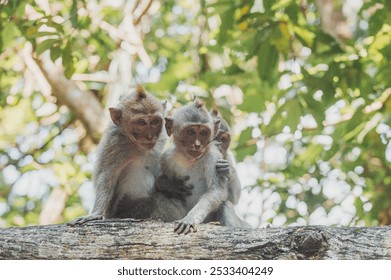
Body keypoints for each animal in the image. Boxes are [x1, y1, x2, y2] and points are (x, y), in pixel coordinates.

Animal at [68, 85, 168, 225]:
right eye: (141, 123)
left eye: (154, 121)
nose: (149, 136)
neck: (135, 143)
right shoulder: (115, 144)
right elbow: (107, 176)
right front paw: (95, 214)